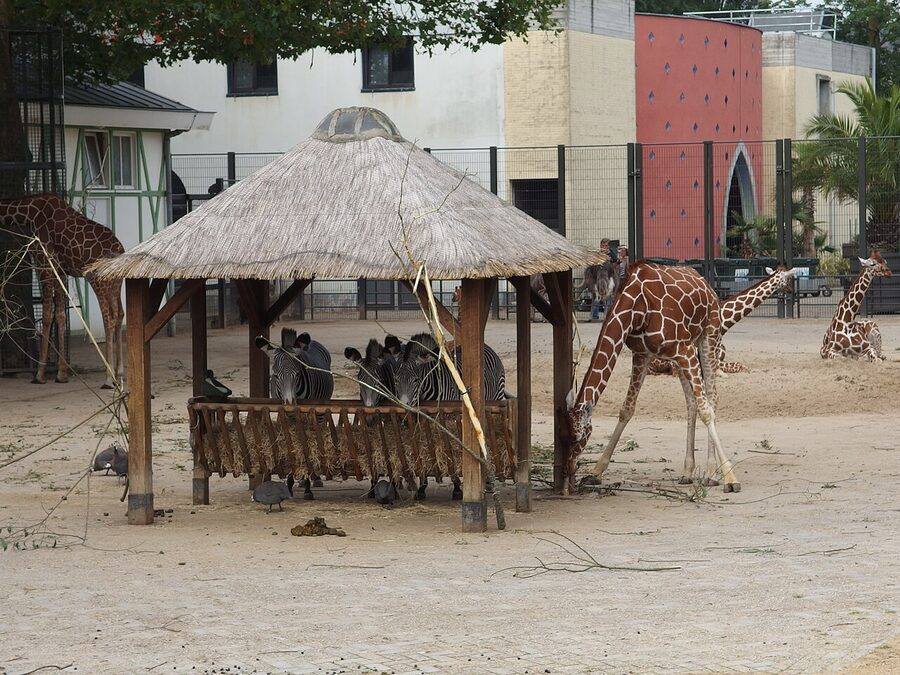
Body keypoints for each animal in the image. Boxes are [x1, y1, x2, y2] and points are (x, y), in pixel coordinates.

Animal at [0, 194, 124, 387]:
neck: (30, 212)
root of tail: (120, 250)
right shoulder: (61, 270)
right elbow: (60, 315)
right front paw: (61, 374)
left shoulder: (44, 263)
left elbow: (46, 316)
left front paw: (40, 375)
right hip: (116, 283)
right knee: (119, 314)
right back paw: (119, 372)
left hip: (98, 280)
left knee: (109, 318)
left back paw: (108, 378)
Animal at [255, 328, 334, 499]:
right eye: (276, 376)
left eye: (297, 374)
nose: (290, 405)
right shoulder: (287, 416)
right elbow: (292, 444)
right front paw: (291, 484)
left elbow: (307, 446)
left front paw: (308, 487)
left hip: (318, 413)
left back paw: (314, 478)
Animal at [394, 332, 507, 501]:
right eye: (395, 380)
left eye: (416, 380)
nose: (403, 407)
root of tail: (486, 346)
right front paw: (421, 488)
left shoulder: (446, 418)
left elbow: (449, 450)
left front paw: (457, 487)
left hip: (497, 395)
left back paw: (487, 481)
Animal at [563, 261, 741, 493]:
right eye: (562, 437)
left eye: (579, 437)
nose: (568, 471)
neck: (635, 307)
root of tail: (704, 282)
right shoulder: (642, 354)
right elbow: (626, 410)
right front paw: (595, 472)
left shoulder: (683, 350)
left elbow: (706, 411)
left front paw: (730, 477)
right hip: (682, 353)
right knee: (691, 402)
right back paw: (687, 472)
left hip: (708, 335)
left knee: (711, 397)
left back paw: (711, 473)